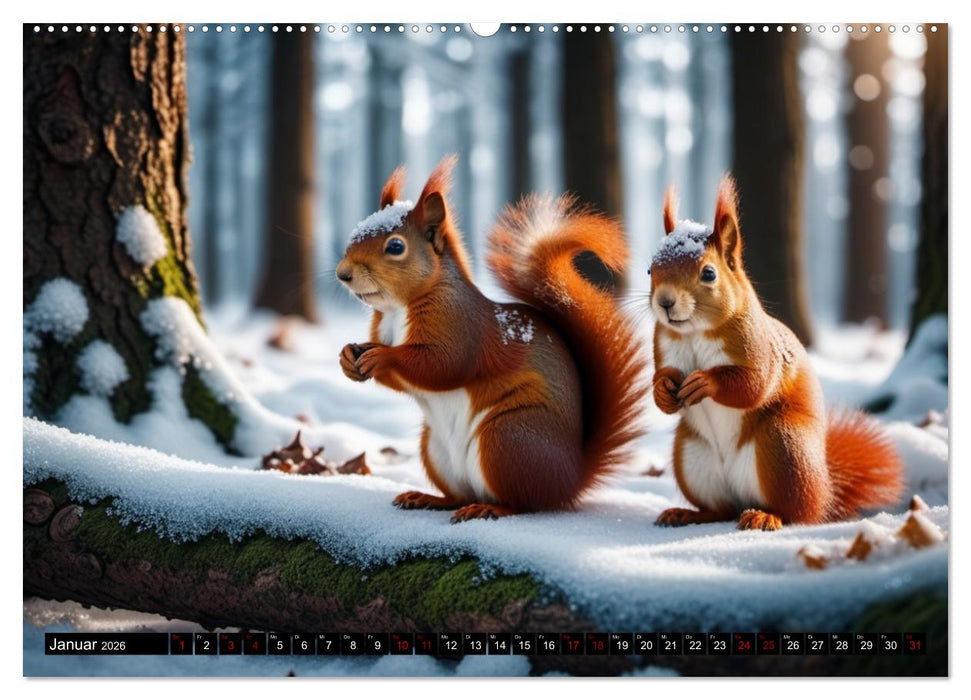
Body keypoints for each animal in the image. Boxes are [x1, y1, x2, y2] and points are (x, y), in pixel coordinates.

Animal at [335, 156, 647, 523]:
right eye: (355, 234)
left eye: (395, 246)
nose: (342, 274)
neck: (398, 309)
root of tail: (570, 479)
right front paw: (348, 357)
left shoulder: (460, 325)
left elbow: (442, 365)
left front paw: (384, 357)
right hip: (436, 450)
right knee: (458, 495)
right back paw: (428, 498)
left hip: (507, 440)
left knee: (524, 503)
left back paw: (489, 507)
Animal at [649, 176, 903, 531]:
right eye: (650, 270)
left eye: (709, 273)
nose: (665, 302)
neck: (695, 333)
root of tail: (826, 492)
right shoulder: (663, 344)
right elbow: (662, 375)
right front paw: (661, 390)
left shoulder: (757, 345)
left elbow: (754, 383)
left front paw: (706, 383)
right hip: (690, 456)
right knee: (721, 509)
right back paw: (687, 513)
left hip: (783, 445)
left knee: (795, 513)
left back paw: (766, 515)